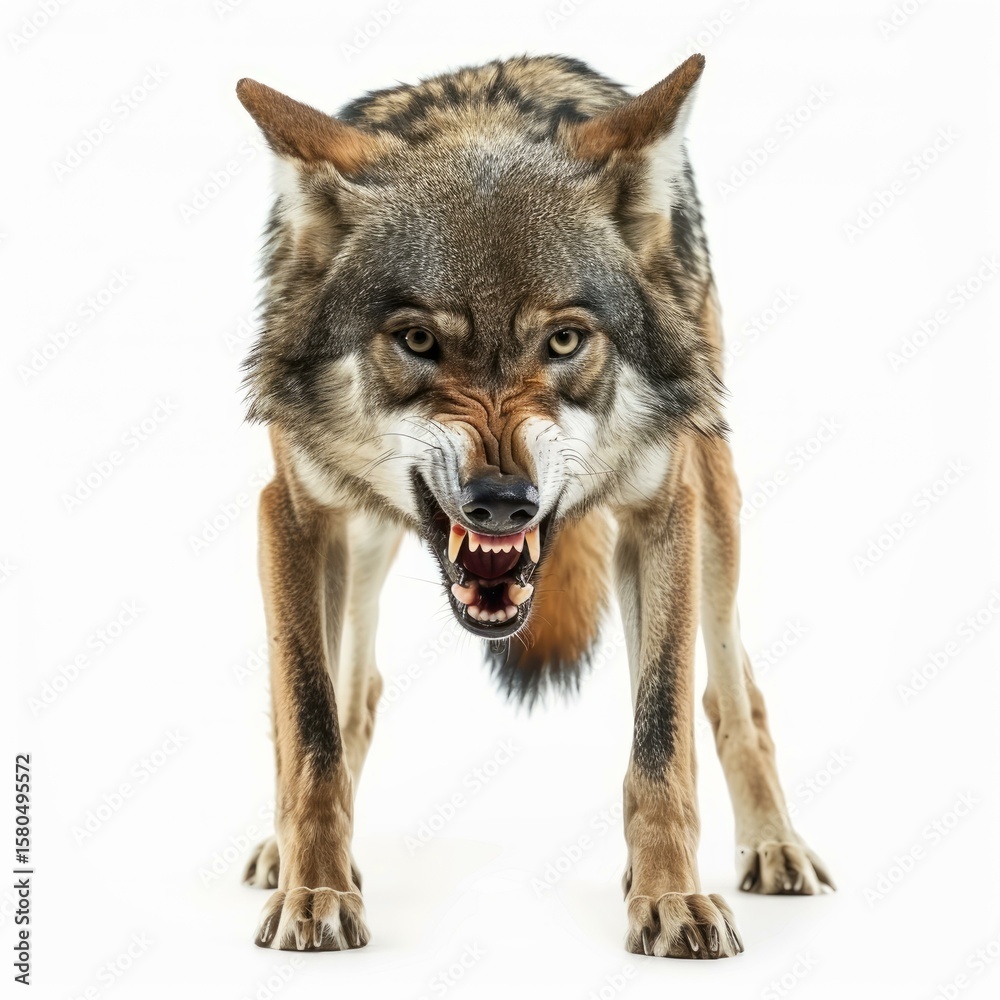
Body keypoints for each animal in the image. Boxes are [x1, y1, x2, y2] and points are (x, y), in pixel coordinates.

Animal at [235, 53, 833, 958]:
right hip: (360, 543)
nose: (501, 505)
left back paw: (774, 845)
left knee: (733, 695)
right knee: (355, 693)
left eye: (564, 340)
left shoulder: (662, 513)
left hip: (717, 513)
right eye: (418, 340)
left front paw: (671, 898)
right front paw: (316, 892)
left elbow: (662, 740)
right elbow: (309, 727)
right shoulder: (294, 515)